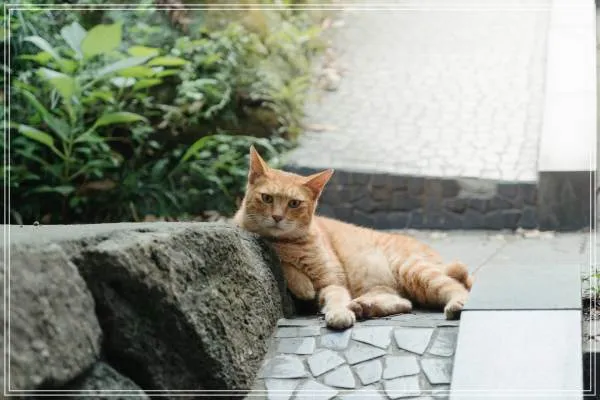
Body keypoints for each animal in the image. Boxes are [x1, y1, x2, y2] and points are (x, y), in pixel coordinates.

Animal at [233, 146, 473, 330]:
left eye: (294, 203)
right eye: (267, 198)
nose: (277, 217)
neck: (290, 243)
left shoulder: (333, 281)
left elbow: (337, 298)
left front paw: (338, 312)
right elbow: (281, 260)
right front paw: (303, 284)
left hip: (412, 269)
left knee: (455, 288)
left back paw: (456, 304)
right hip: (386, 285)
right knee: (404, 302)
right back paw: (364, 307)